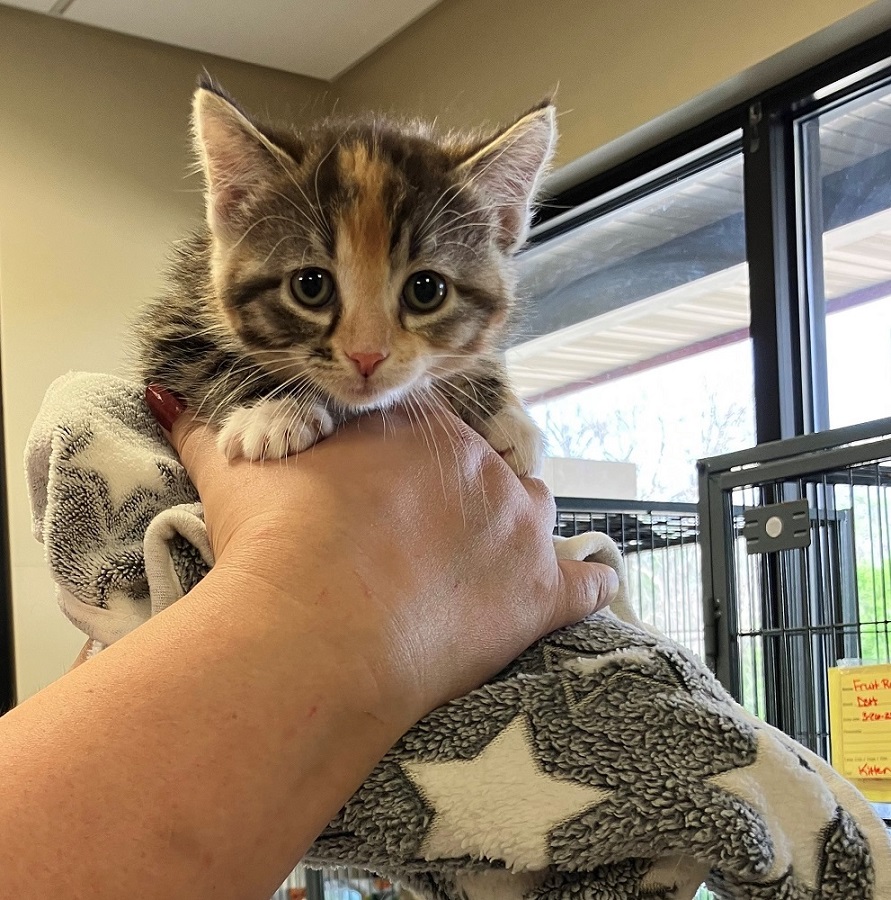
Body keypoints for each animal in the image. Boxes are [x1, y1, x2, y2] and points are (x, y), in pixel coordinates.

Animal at [134, 77, 554, 476]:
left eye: (426, 291)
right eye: (310, 286)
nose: (366, 356)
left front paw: (505, 415)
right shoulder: (174, 321)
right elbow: (208, 357)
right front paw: (272, 412)